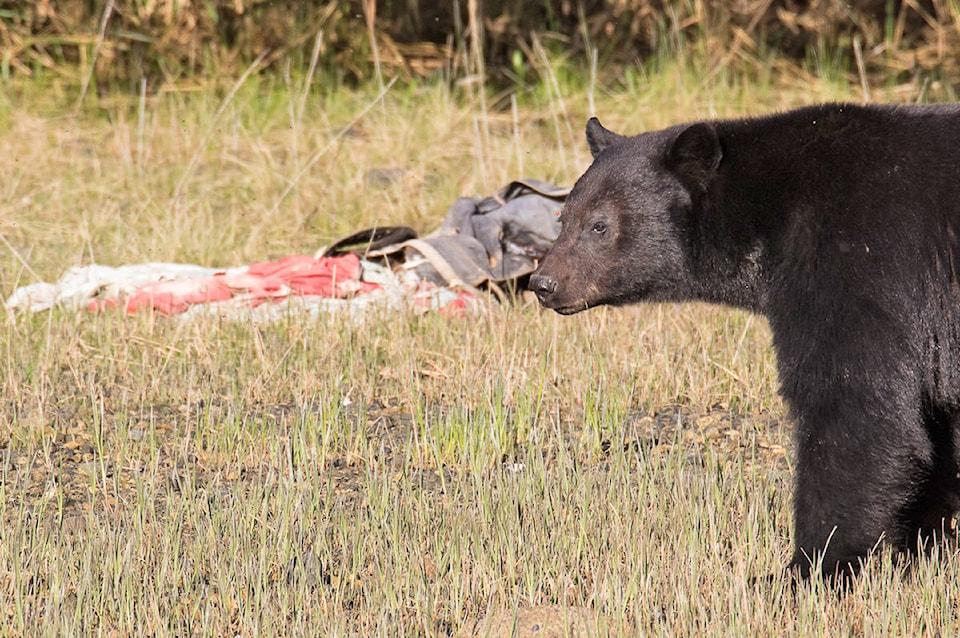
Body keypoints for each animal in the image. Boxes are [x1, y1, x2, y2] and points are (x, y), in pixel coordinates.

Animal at [528, 104, 960, 580]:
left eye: (600, 225)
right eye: (563, 218)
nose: (542, 284)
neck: (770, 214)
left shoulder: (861, 263)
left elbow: (854, 404)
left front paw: (805, 568)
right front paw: (923, 545)